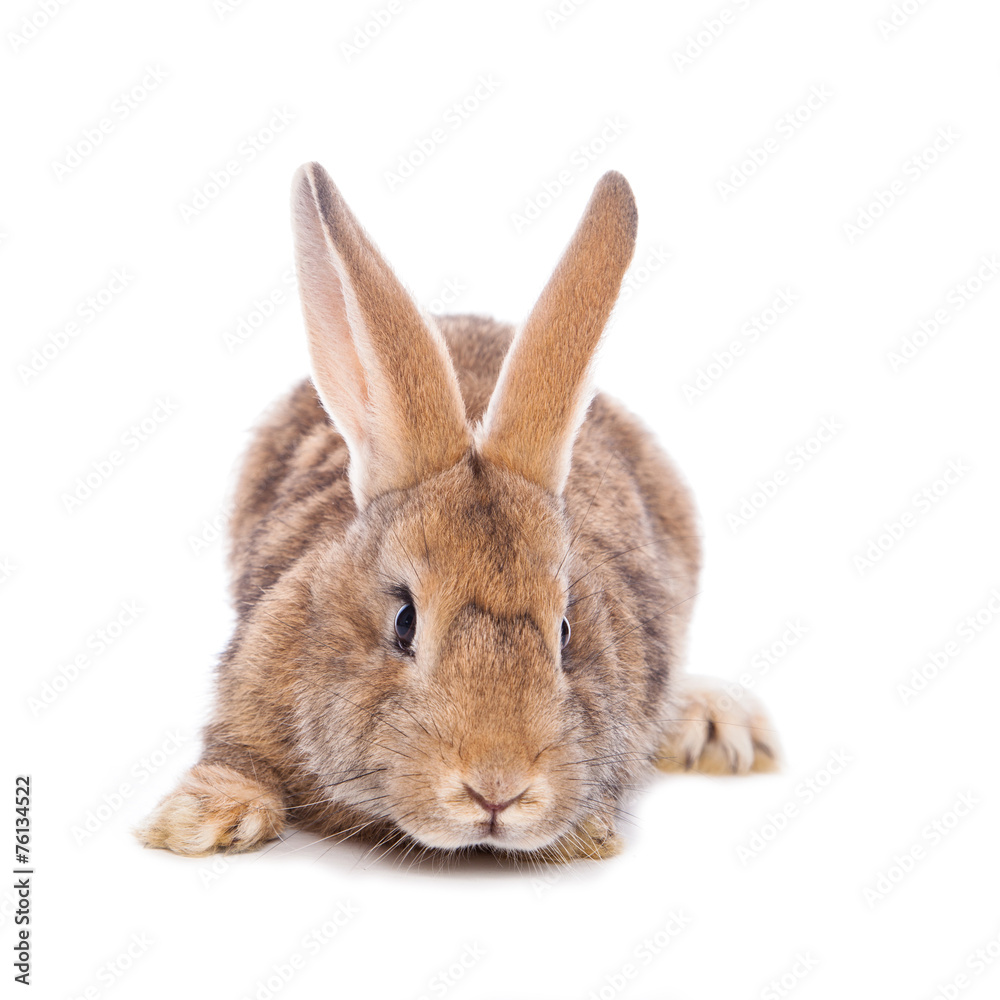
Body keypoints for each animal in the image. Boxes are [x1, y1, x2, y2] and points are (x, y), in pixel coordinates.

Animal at [135, 162, 779, 863]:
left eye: (565, 632)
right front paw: (203, 819)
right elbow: (236, 757)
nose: (496, 788)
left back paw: (720, 725)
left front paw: (586, 831)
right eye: (404, 622)